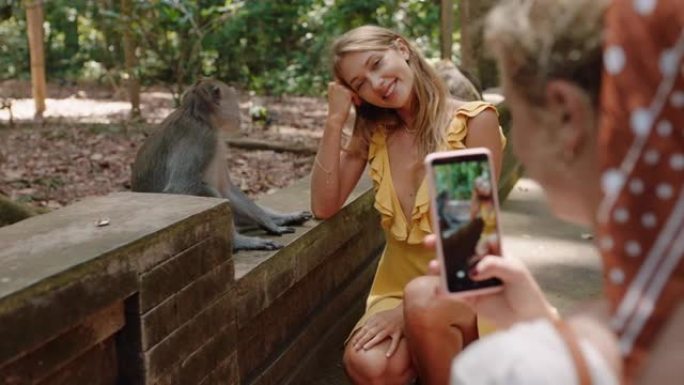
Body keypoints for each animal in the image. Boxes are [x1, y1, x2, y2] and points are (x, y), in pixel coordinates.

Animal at [131, 79, 312, 250]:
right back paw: (238, 241)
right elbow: (179, 187)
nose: (239, 116)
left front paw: (269, 220)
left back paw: (281, 218)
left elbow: (227, 190)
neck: (200, 117)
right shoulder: (203, 137)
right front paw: (264, 226)